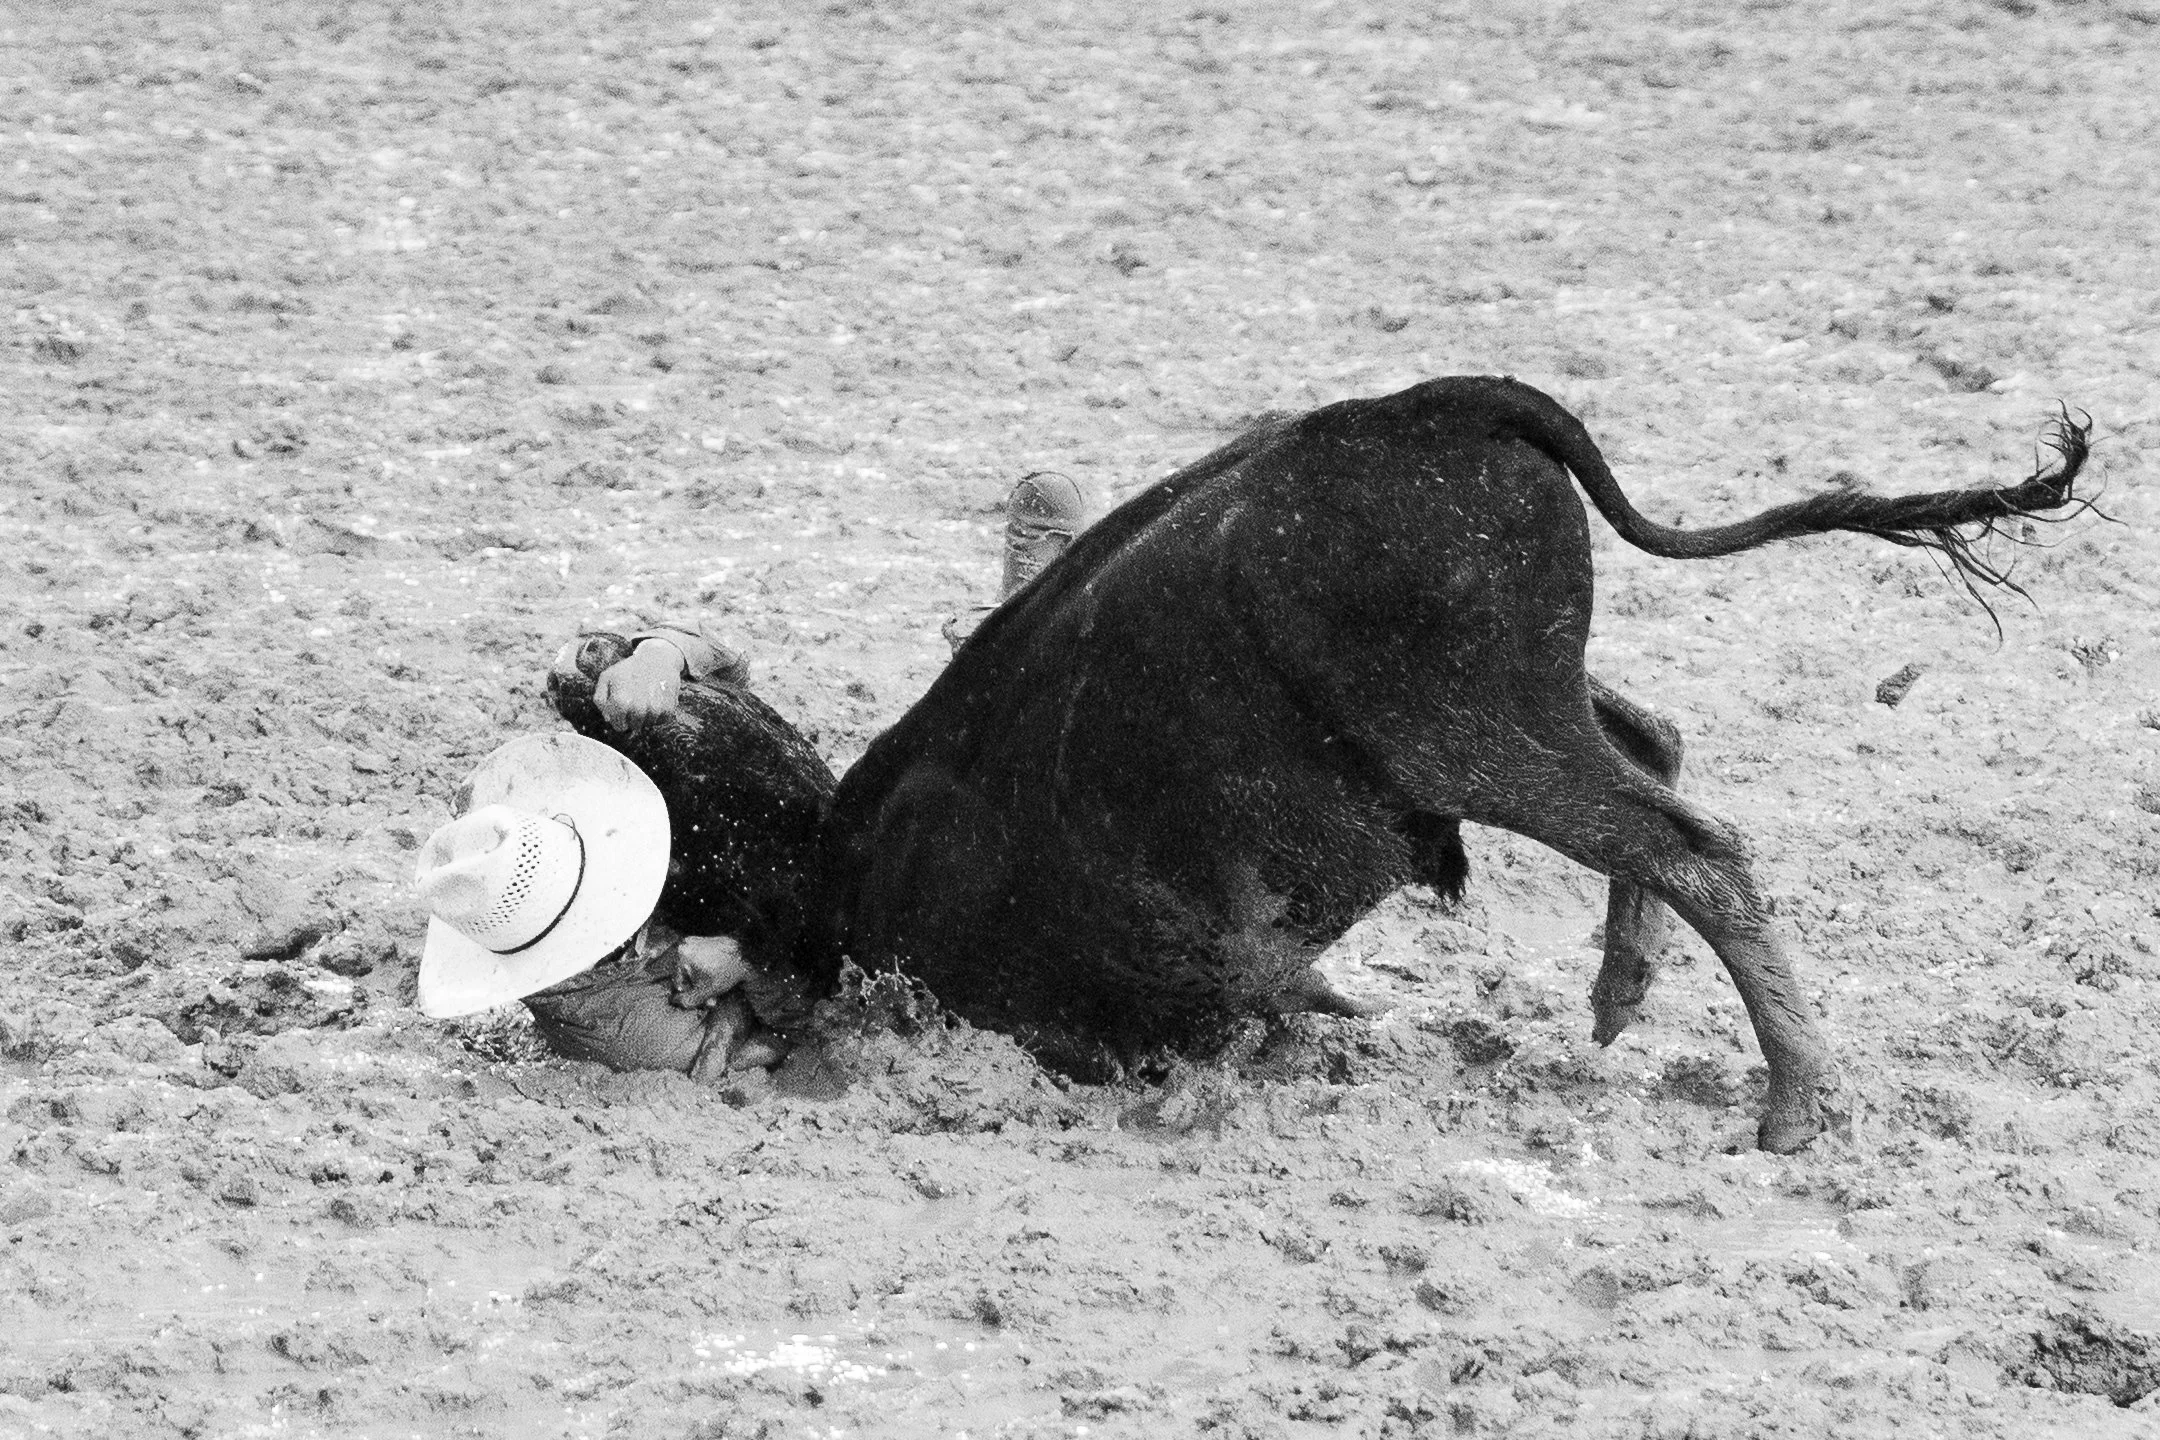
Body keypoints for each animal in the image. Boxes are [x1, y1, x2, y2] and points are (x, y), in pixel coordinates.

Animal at [816, 375, 2089, 1153]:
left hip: (1475, 738)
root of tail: (1433, 405)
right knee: (1656, 751)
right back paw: (1622, 1003)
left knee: (1694, 847)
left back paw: (1787, 1111)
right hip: (1516, 713)